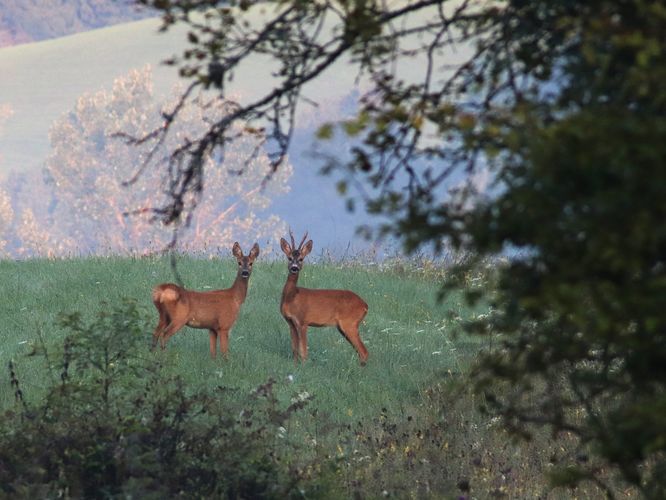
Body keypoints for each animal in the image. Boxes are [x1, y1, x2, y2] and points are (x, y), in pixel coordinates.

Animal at [276, 232, 368, 366]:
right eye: (289, 258)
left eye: (301, 259)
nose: (294, 268)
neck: (292, 296)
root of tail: (365, 305)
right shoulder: (291, 322)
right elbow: (294, 349)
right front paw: (295, 366)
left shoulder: (303, 321)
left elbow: (303, 351)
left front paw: (304, 366)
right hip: (345, 326)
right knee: (360, 351)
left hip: (349, 323)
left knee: (364, 351)